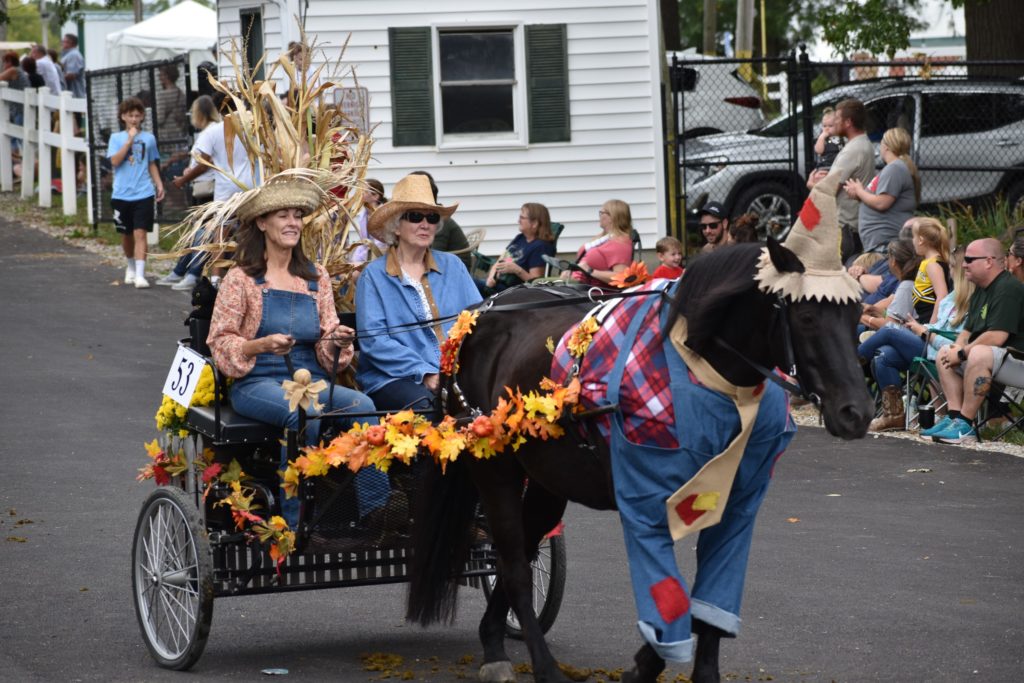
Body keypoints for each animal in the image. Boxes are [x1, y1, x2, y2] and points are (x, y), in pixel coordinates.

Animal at [405, 240, 872, 683]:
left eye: (856, 315)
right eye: (807, 317)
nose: (857, 412)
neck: (701, 373)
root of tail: (477, 316)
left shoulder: (735, 505)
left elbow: (710, 597)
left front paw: (694, 669)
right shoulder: (646, 503)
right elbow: (671, 594)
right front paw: (646, 664)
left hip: (546, 482)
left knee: (518, 552)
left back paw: (493, 643)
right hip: (494, 468)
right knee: (515, 566)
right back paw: (540, 666)